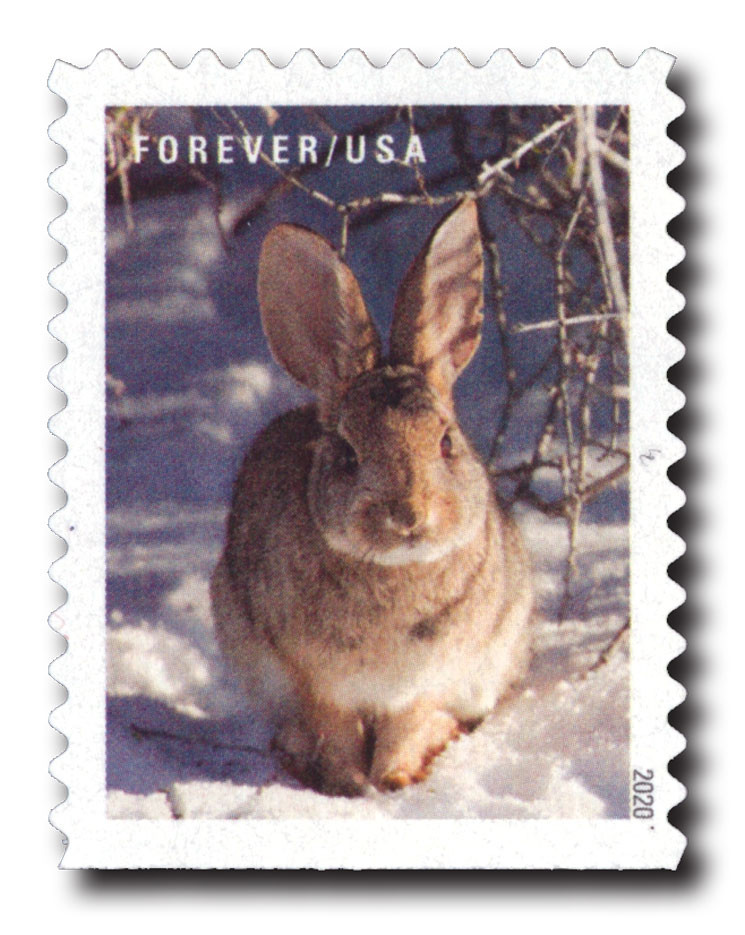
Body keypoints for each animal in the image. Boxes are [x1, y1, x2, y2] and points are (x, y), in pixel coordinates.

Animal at [210, 198, 533, 797]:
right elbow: (335, 730)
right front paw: (347, 786)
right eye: (347, 454)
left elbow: (408, 725)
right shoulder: (318, 683)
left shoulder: (427, 681)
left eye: (447, 442)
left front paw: (397, 781)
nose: (410, 516)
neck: (397, 571)